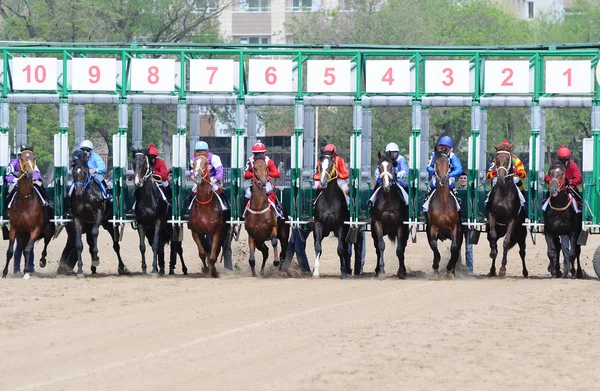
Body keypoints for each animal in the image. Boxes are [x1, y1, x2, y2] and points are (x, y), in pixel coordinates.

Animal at [2, 147, 52, 278]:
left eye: (33, 157)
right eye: (21, 158)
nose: (29, 173)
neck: (25, 199)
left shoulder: (35, 229)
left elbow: (29, 249)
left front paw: (27, 272)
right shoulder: (14, 228)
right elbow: (10, 251)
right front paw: (4, 272)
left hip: (49, 229)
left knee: (46, 243)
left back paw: (42, 261)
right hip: (23, 234)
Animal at [424, 149, 462, 278]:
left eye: (448, 162)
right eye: (435, 162)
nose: (443, 179)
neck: (443, 203)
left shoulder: (455, 227)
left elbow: (454, 248)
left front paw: (449, 269)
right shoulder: (432, 227)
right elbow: (434, 246)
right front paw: (435, 267)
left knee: (457, 249)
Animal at [486, 145, 528, 278]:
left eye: (508, 159)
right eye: (496, 158)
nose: (500, 178)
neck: (504, 191)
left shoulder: (512, 219)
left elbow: (506, 242)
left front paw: (503, 268)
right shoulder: (492, 215)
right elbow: (494, 240)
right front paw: (492, 253)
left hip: (521, 233)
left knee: (522, 251)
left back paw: (525, 272)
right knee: (494, 242)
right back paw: (492, 269)